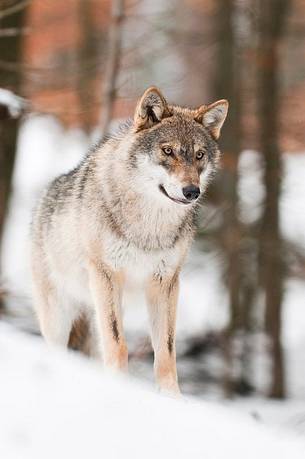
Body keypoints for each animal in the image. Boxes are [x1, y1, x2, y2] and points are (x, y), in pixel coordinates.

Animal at [30, 87, 227, 396]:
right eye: (167, 150)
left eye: (199, 155)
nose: (192, 191)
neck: (149, 228)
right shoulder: (106, 274)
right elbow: (118, 342)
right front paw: (118, 386)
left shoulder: (166, 283)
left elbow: (166, 351)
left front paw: (172, 398)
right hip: (62, 314)